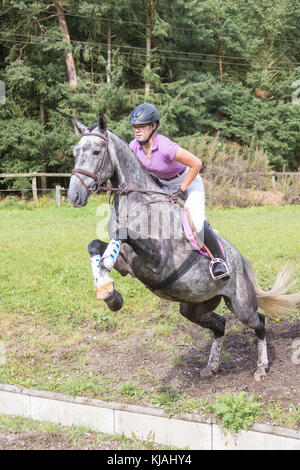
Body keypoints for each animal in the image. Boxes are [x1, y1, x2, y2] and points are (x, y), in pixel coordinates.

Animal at [68, 114, 300, 382]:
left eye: (96, 151)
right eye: (75, 152)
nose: (74, 195)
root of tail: (241, 259)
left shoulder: (158, 262)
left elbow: (122, 235)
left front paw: (108, 287)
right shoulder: (127, 265)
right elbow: (96, 247)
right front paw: (108, 292)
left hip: (241, 304)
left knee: (259, 321)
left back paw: (261, 367)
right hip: (193, 306)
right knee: (220, 324)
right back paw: (212, 366)